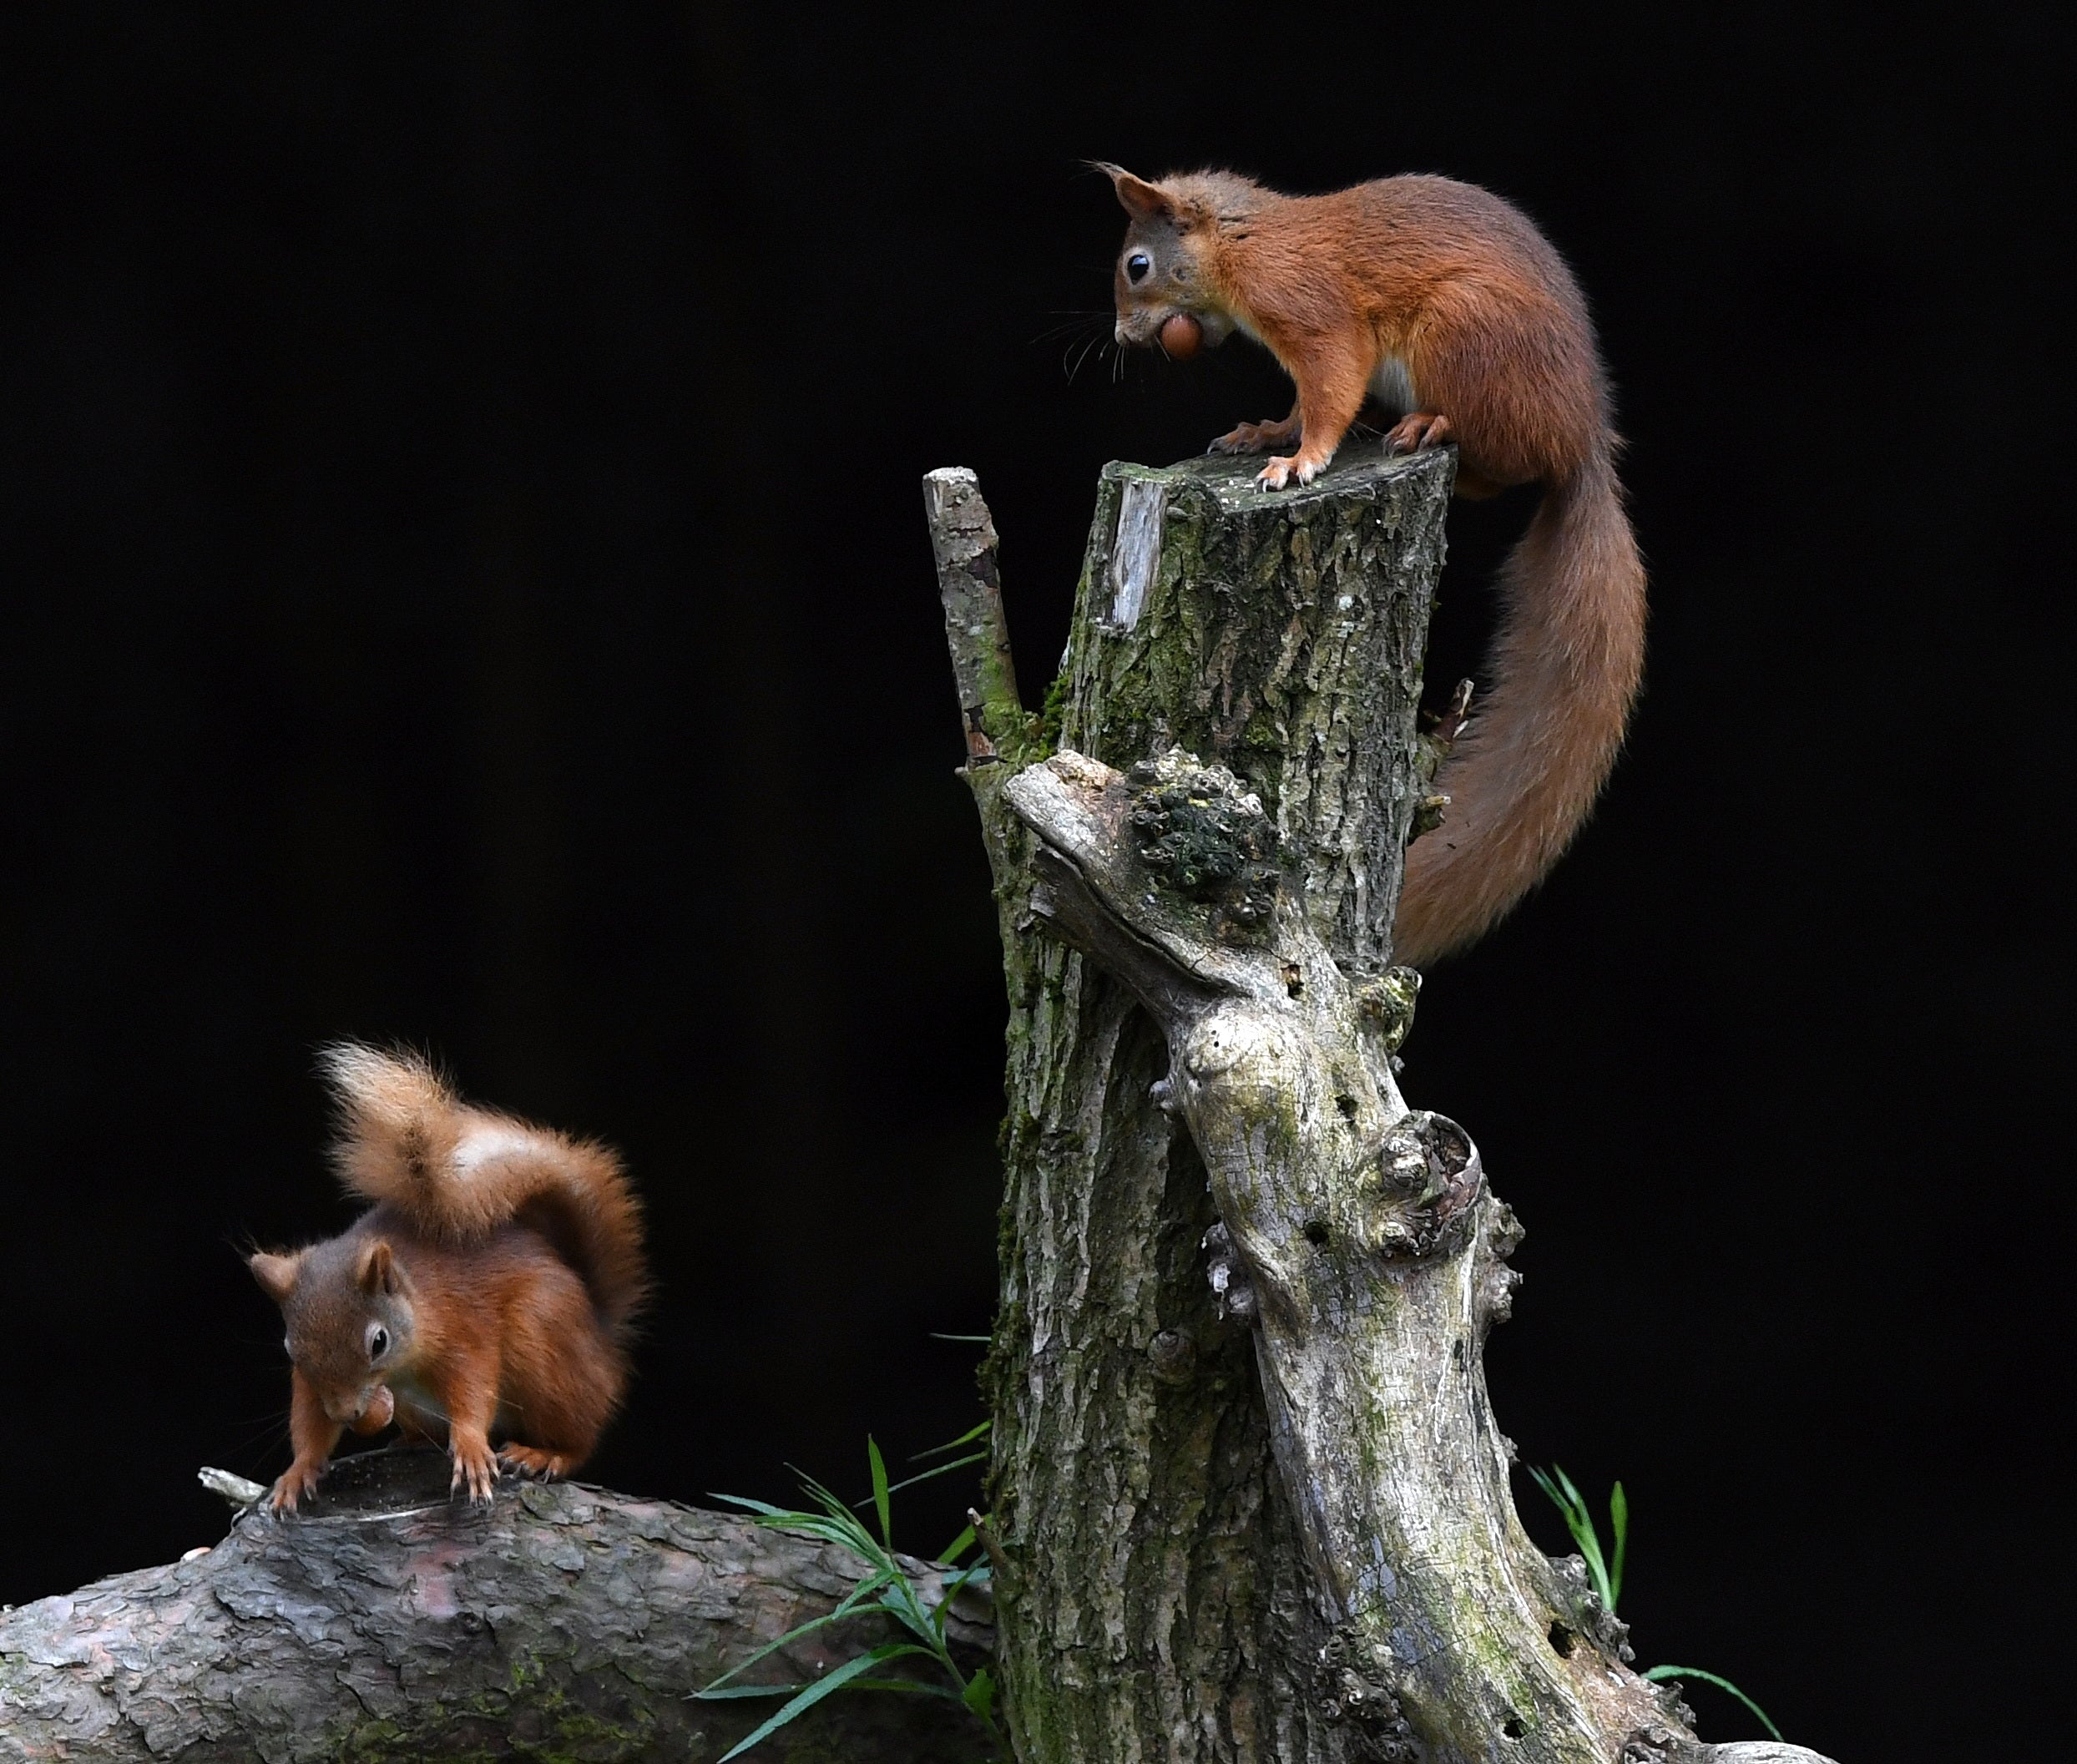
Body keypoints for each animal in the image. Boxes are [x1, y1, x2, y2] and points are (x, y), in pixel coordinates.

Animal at [246, 1044, 648, 1513]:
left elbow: (473, 1390)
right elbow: (309, 1421)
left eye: (378, 1342)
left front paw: (472, 1449)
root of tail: (603, 1341)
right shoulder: (312, 1386)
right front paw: (297, 1472)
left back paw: (545, 1454)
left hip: (544, 1344)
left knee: (579, 1437)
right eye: (291, 1348)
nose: (347, 1413)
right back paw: (409, 1441)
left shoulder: (463, 1330)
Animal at [1099, 165, 1648, 966]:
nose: (1121, 335)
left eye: (1137, 266)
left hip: (1464, 333)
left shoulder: (1313, 313)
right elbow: (1301, 405)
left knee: (1496, 462)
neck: (1244, 243)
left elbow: (1330, 391)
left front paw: (1300, 461)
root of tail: (1580, 444)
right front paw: (1264, 432)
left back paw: (1427, 425)